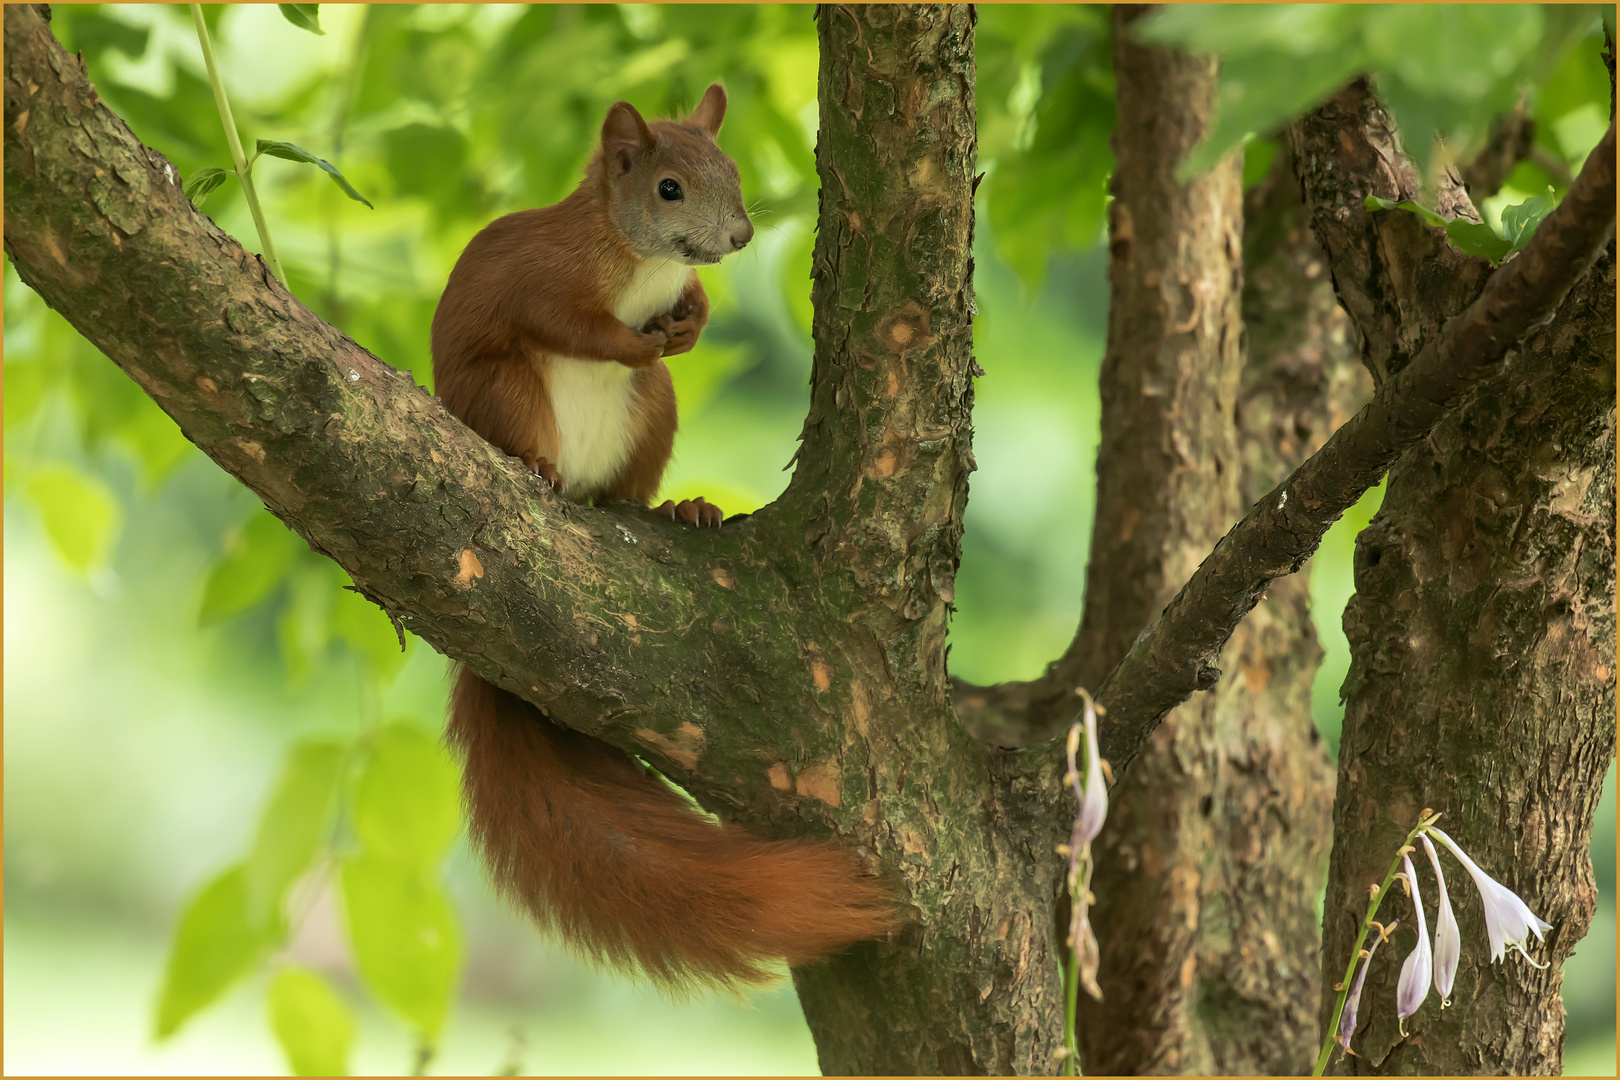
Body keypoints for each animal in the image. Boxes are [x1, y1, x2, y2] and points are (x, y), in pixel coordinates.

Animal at [430, 88, 900, 990]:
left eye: (735, 170)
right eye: (669, 189)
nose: (741, 238)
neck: (639, 263)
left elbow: (694, 314)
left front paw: (694, 321)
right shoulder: (543, 277)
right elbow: (567, 323)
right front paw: (629, 335)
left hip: (654, 410)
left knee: (627, 487)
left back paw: (680, 512)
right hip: (503, 388)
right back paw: (538, 468)